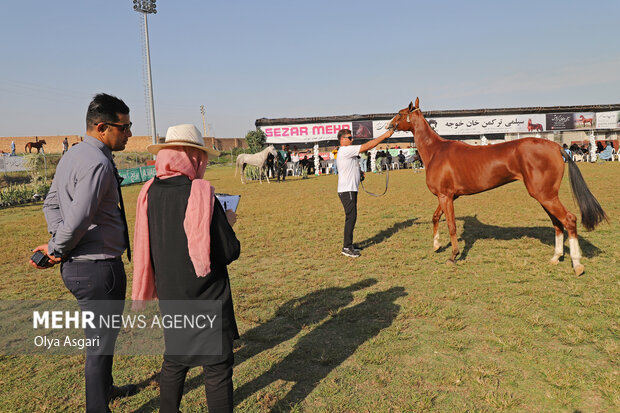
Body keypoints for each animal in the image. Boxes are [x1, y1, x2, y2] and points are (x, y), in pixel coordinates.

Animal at [392, 98, 604, 276]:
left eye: (400, 113)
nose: (389, 124)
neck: (436, 151)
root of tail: (556, 147)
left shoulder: (445, 196)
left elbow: (451, 226)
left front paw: (453, 256)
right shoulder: (448, 196)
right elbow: (436, 217)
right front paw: (436, 245)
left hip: (546, 196)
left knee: (569, 220)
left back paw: (577, 265)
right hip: (547, 196)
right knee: (558, 224)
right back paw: (555, 258)